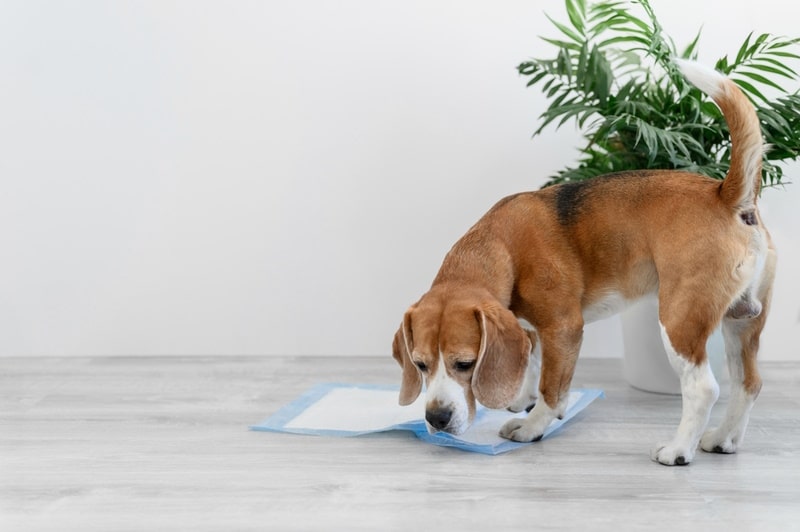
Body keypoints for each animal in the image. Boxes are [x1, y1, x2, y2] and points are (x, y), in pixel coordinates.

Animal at [392, 59, 776, 466]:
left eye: (464, 364)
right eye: (420, 364)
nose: (437, 418)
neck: (501, 245)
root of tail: (725, 195)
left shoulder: (563, 328)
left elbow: (552, 388)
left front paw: (533, 425)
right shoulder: (529, 327)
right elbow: (531, 363)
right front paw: (520, 397)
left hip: (679, 320)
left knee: (703, 388)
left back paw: (677, 450)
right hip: (742, 322)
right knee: (748, 383)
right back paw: (723, 438)